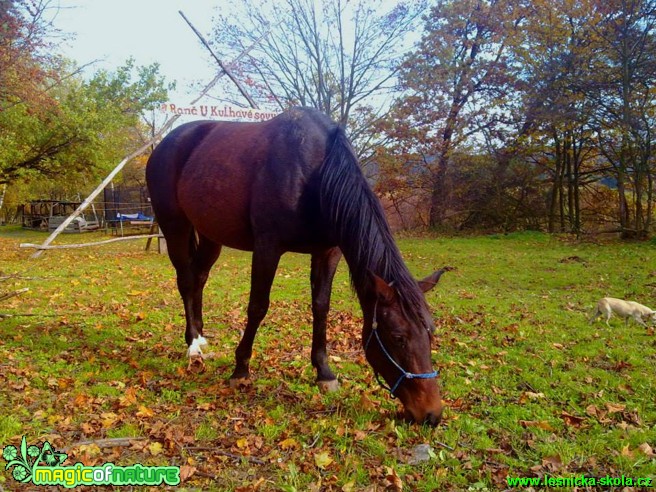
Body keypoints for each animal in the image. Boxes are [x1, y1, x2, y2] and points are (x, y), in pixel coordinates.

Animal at [145, 109, 446, 424]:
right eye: (398, 337)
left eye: (430, 333)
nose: (431, 414)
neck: (316, 173)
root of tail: (166, 143)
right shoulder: (267, 247)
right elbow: (258, 307)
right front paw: (240, 370)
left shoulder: (328, 252)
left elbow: (321, 307)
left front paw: (325, 373)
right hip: (175, 227)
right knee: (186, 280)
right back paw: (192, 345)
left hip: (210, 235)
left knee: (200, 277)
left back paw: (201, 338)